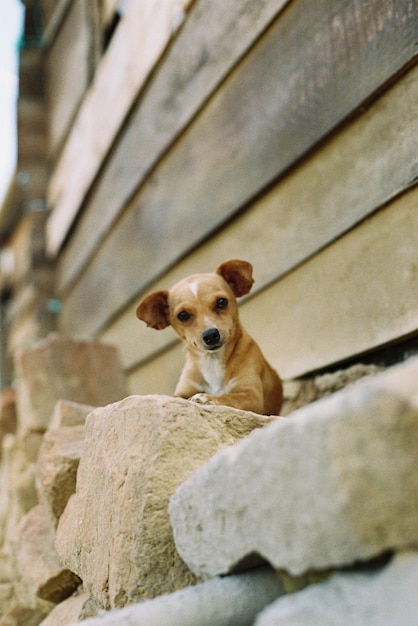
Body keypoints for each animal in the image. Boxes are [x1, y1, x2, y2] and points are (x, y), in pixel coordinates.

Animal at [136, 258, 282, 414]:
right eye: (183, 315)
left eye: (221, 302)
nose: (211, 335)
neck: (212, 362)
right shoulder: (182, 393)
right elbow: (173, 397)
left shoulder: (252, 397)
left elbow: (229, 397)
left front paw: (208, 398)